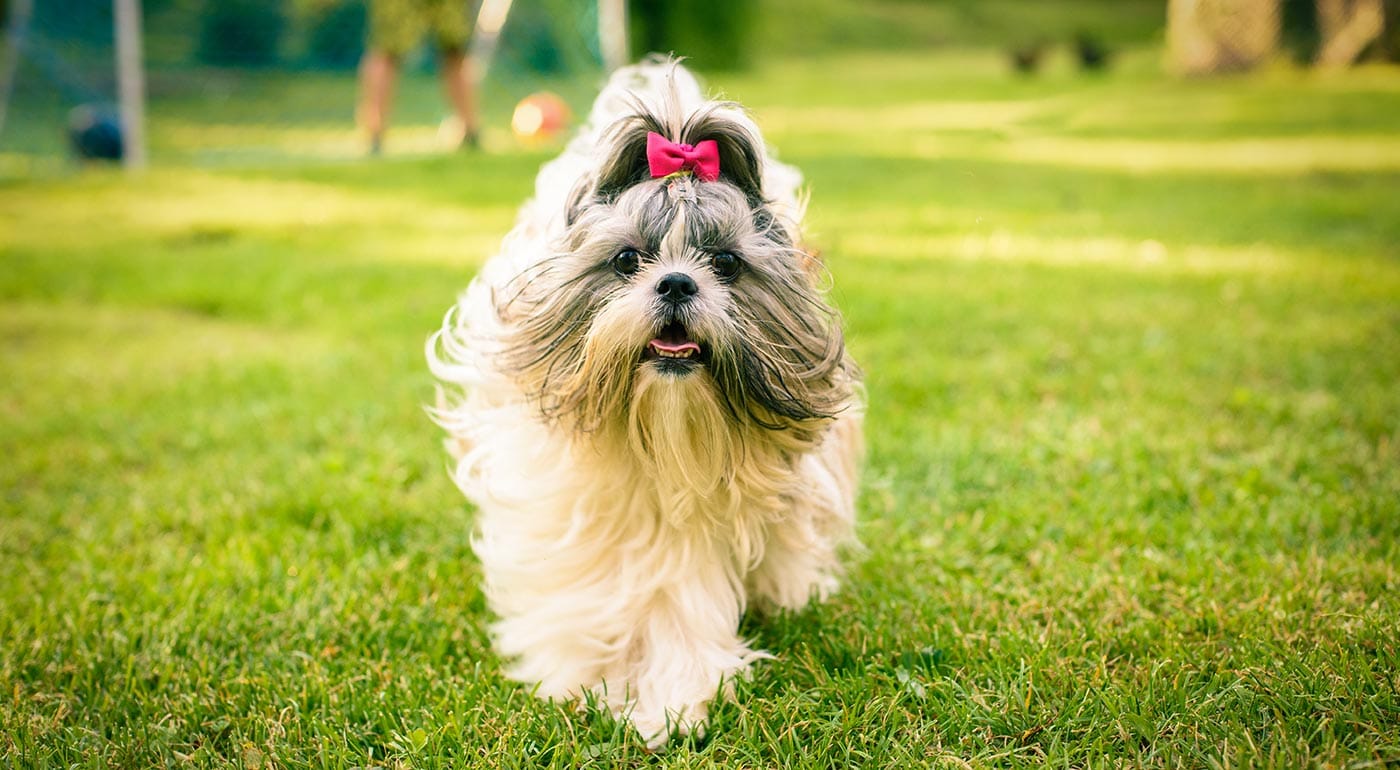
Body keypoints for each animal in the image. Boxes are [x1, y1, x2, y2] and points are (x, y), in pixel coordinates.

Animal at [425, 58, 862, 750]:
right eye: (628, 258)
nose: (677, 282)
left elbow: (681, 609)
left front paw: (670, 704)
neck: (666, 436)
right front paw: (591, 681)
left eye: (726, 263)